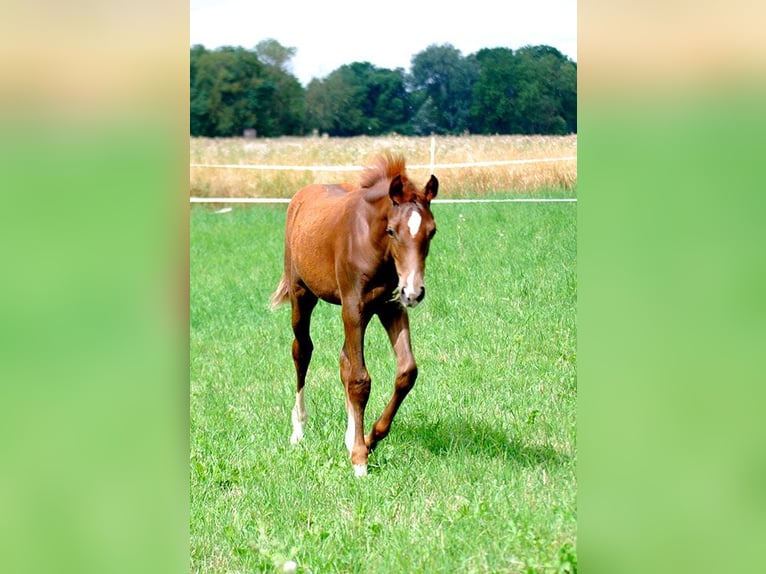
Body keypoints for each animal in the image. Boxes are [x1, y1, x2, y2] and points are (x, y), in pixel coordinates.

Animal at [270, 153, 438, 477]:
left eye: (432, 231)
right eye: (392, 230)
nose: (414, 292)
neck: (371, 240)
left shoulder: (390, 306)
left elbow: (406, 372)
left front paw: (369, 439)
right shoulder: (353, 307)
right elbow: (360, 380)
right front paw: (360, 459)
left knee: (344, 360)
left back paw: (350, 436)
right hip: (301, 296)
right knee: (302, 351)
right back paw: (298, 430)